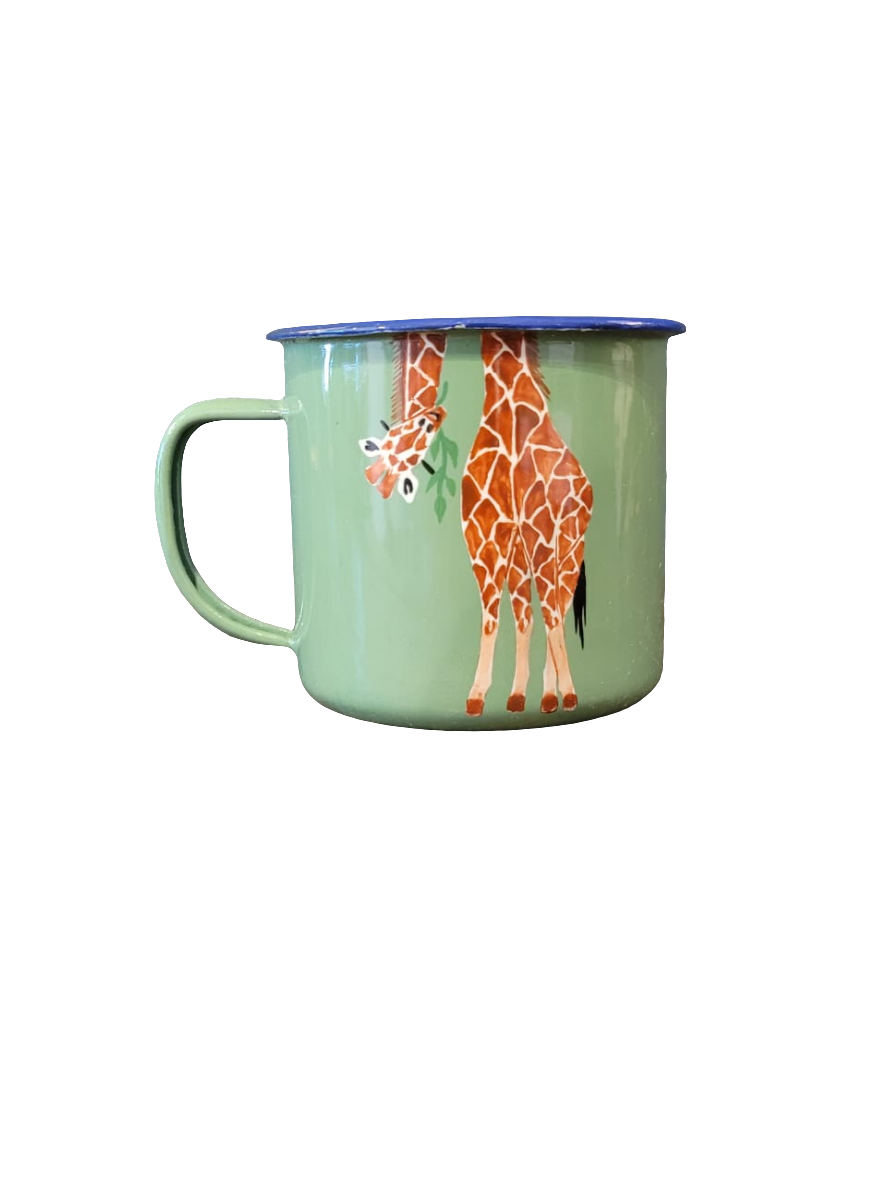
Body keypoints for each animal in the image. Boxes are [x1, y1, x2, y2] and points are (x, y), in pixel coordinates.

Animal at [359, 329, 593, 716]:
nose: (378, 480)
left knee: (556, 608)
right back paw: (521, 696)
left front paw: (569, 695)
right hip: (520, 555)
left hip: (569, 543)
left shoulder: (541, 532)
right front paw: (478, 696)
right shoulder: (484, 537)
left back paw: (554, 694)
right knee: (528, 616)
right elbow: (492, 618)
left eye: (422, 424)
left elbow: (551, 617)